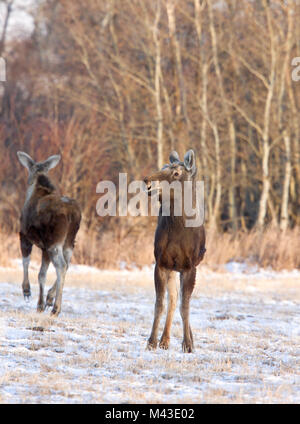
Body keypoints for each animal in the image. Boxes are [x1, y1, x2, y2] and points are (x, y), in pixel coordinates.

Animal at [17, 152, 81, 314]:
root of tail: (72, 214)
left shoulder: (23, 235)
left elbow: (26, 261)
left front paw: (27, 291)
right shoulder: (44, 247)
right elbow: (42, 274)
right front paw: (42, 302)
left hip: (54, 242)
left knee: (61, 266)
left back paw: (56, 308)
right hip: (69, 242)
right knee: (67, 264)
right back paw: (51, 298)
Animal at [144, 151, 205, 352]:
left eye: (176, 173)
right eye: (162, 167)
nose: (147, 181)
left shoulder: (189, 266)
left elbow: (184, 306)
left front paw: (187, 344)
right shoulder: (161, 263)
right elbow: (161, 304)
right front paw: (151, 341)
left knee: (180, 300)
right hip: (172, 268)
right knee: (172, 299)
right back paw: (165, 340)